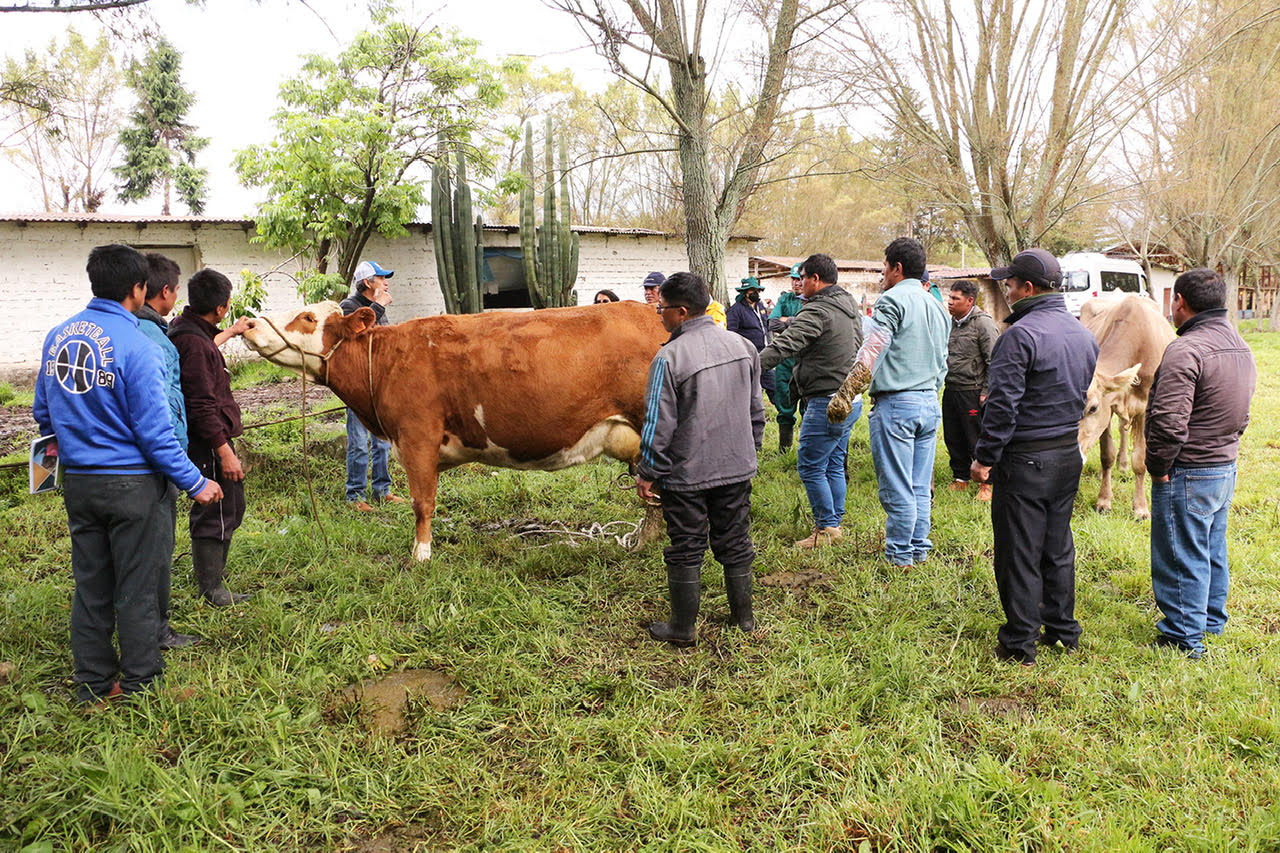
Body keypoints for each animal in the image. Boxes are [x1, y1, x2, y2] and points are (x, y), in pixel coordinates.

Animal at [236, 298, 670, 558]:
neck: (387, 360)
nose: (249, 323)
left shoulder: (417, 437)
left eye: (309, 317)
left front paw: (420, 556)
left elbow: (422, 503)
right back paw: (642, 541)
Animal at [1075, 292, 1172, 517]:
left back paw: (1124, 464)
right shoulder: (1109, 407)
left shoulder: (1145, 407)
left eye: (1093, 408)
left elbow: (1140, 460)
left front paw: (1141, 507)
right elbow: (1106, 455)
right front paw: (1104, 500)